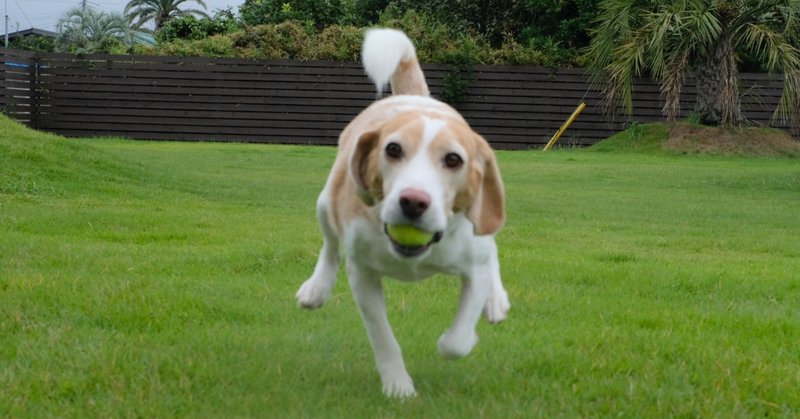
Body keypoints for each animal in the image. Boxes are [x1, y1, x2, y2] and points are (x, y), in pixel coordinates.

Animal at [296, 28, 510, 398]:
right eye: (393, 149)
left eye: (453, 159)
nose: (413, 201)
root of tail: (417, 98)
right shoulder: (363, 275)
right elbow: (383, 337)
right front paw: (398, 387)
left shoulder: (473, 262)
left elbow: (455, 342)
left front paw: (465, 336)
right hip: (325, 203)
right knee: (330, 247)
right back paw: (316, 288)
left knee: (491, 248)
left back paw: (495, 299)